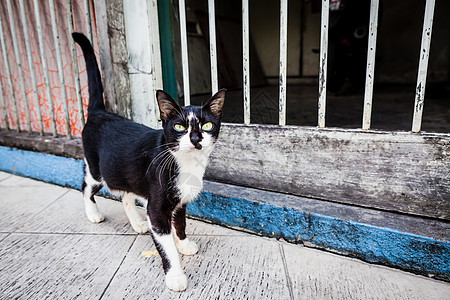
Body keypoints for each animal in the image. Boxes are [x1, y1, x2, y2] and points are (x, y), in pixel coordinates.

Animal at [72, 33, 227, 292]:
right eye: (179, 127)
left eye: (207, 125)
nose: (196, 139)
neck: (184, 163)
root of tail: (99, 112)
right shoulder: (157, 207)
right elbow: (165, 244)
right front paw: (175, 275)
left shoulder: (181, 200)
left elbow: (180, 223)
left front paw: (183, 244)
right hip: (96, 169)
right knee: (86, 186)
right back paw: (93, 213)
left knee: (126, 195)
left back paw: (137, 222)